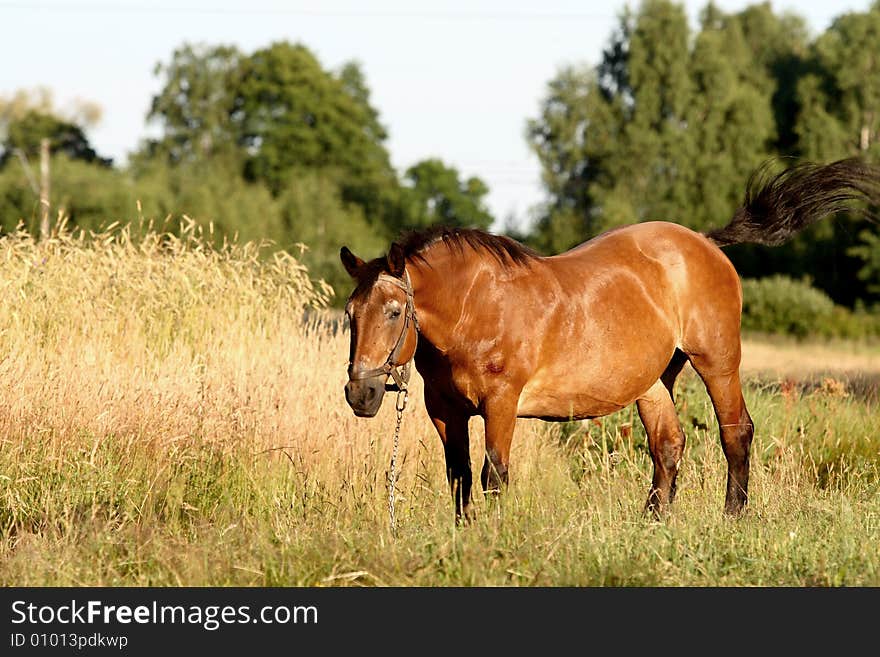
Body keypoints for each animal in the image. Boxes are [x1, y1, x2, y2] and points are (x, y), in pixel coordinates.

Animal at [338, 158, 880, 516]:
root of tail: (705, 242)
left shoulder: (500, 404)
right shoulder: (445, 412)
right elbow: (460, 477)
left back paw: (733, 516)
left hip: (718, 361)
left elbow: (494, 475)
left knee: (736, 432)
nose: (360, 394)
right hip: (654, 380)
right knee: (668, 443)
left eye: (393, 311)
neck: (475, 307)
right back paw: (654, 521)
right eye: (350, 313)